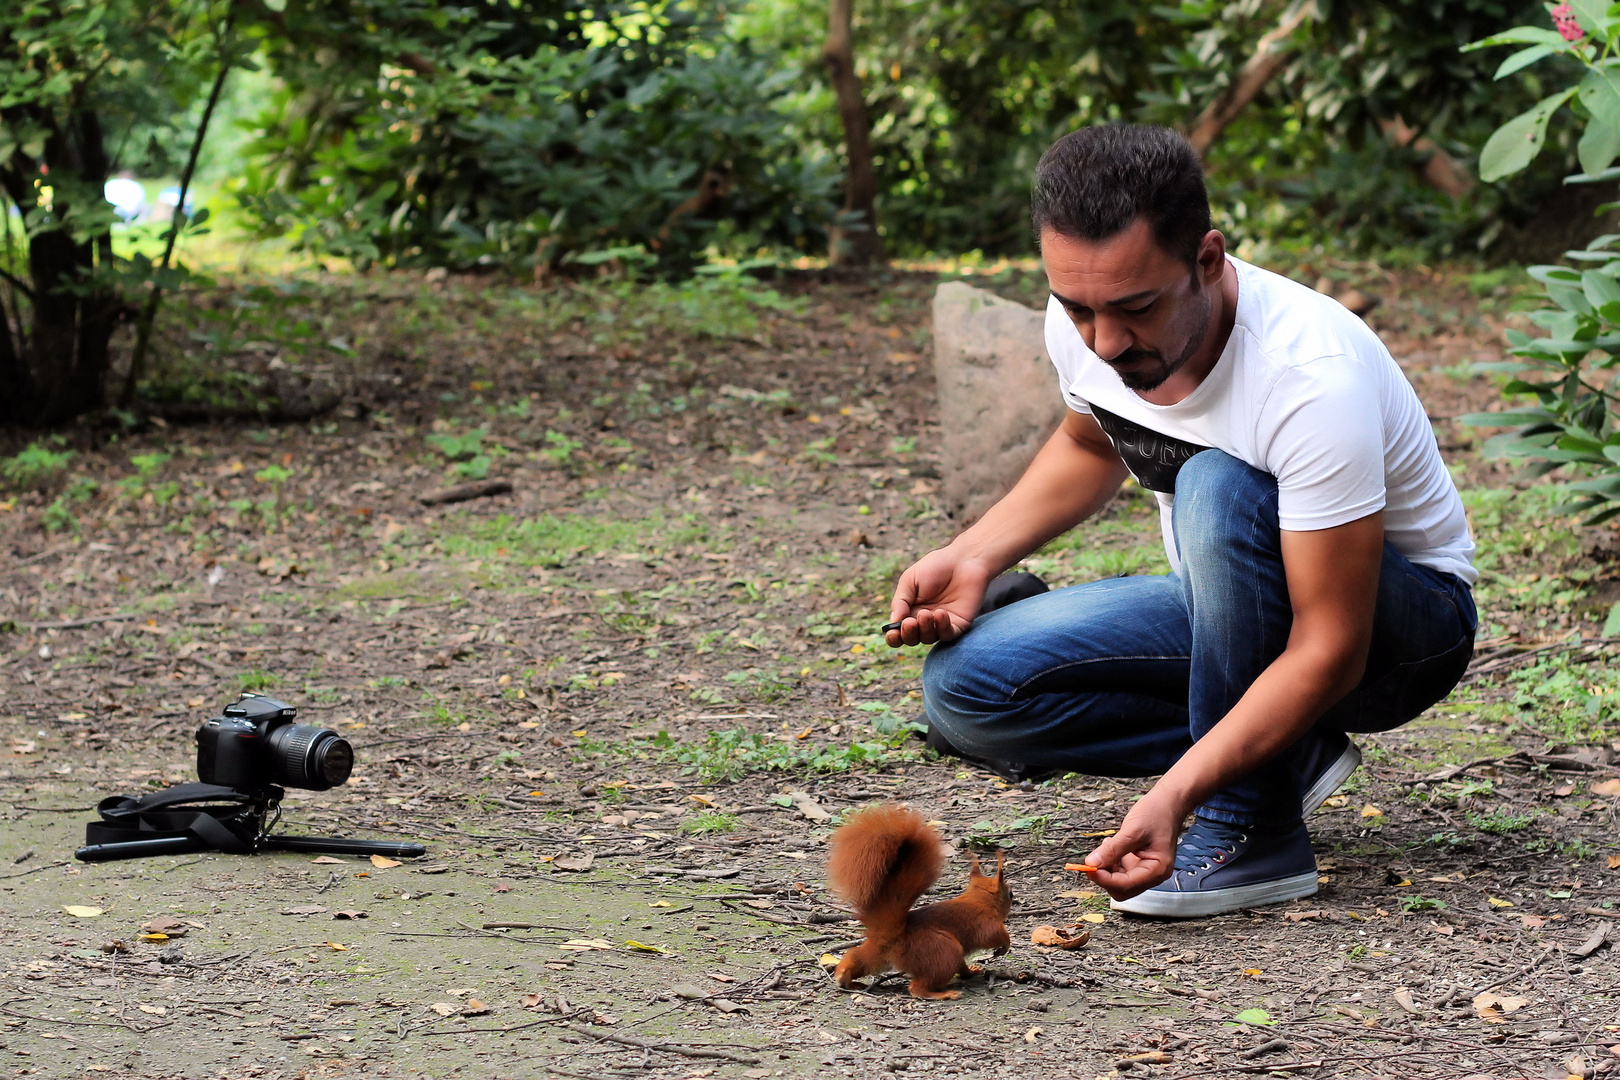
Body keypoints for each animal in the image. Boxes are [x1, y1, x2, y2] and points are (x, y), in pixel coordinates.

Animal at [829, 806, 1004, 1003]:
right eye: (1011, 894)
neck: (977, 899)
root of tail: (895, 938)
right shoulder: (985, 921)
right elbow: (995, 935)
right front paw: (1005, 946)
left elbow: (963, 967)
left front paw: (971, 972)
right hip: (944, 952)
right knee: (916, 988)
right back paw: (944, 994)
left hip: (880, 954)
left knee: (857, 957)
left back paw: (844, 977)